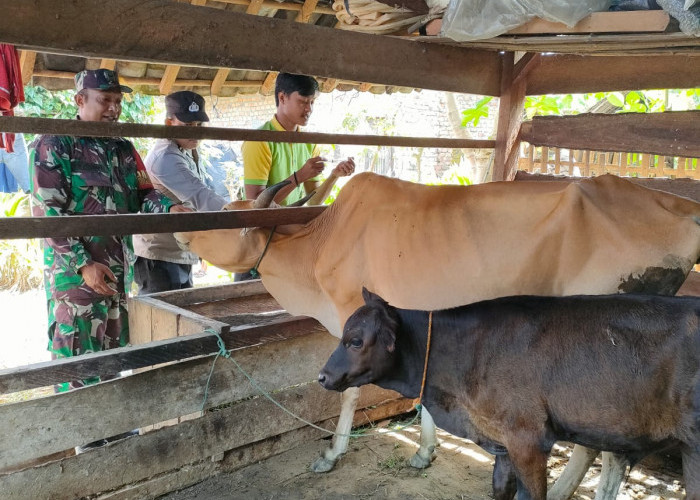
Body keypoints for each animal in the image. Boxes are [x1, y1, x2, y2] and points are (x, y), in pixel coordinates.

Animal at [175, 172, 700, 496]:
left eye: (225, 216)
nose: (179, 223)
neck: (321, 245)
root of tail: (676, 205)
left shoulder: (353, 317)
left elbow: (349, 393)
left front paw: (332, 453)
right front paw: (425, 452)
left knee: (603, 448)